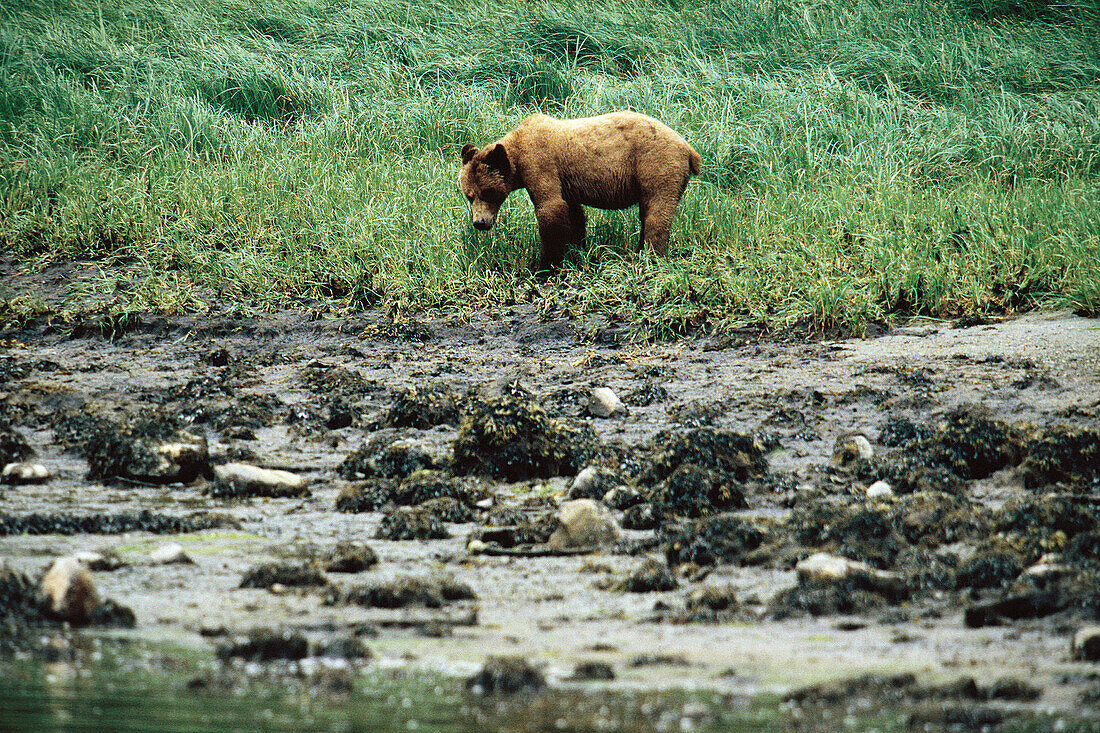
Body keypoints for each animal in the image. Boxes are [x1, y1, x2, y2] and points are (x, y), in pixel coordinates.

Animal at [457, 112, 699, 272]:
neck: (516, 154)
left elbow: (550, 210)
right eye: (469, 196)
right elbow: (573, 214)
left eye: (487, 192)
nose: (479, 223)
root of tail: (689, 148)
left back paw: (651, 255)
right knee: (647, 211)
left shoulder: (540, 163)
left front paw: (544, 266)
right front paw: (576, 250)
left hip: (656, 164)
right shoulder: (565, 181)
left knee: (656, 212)